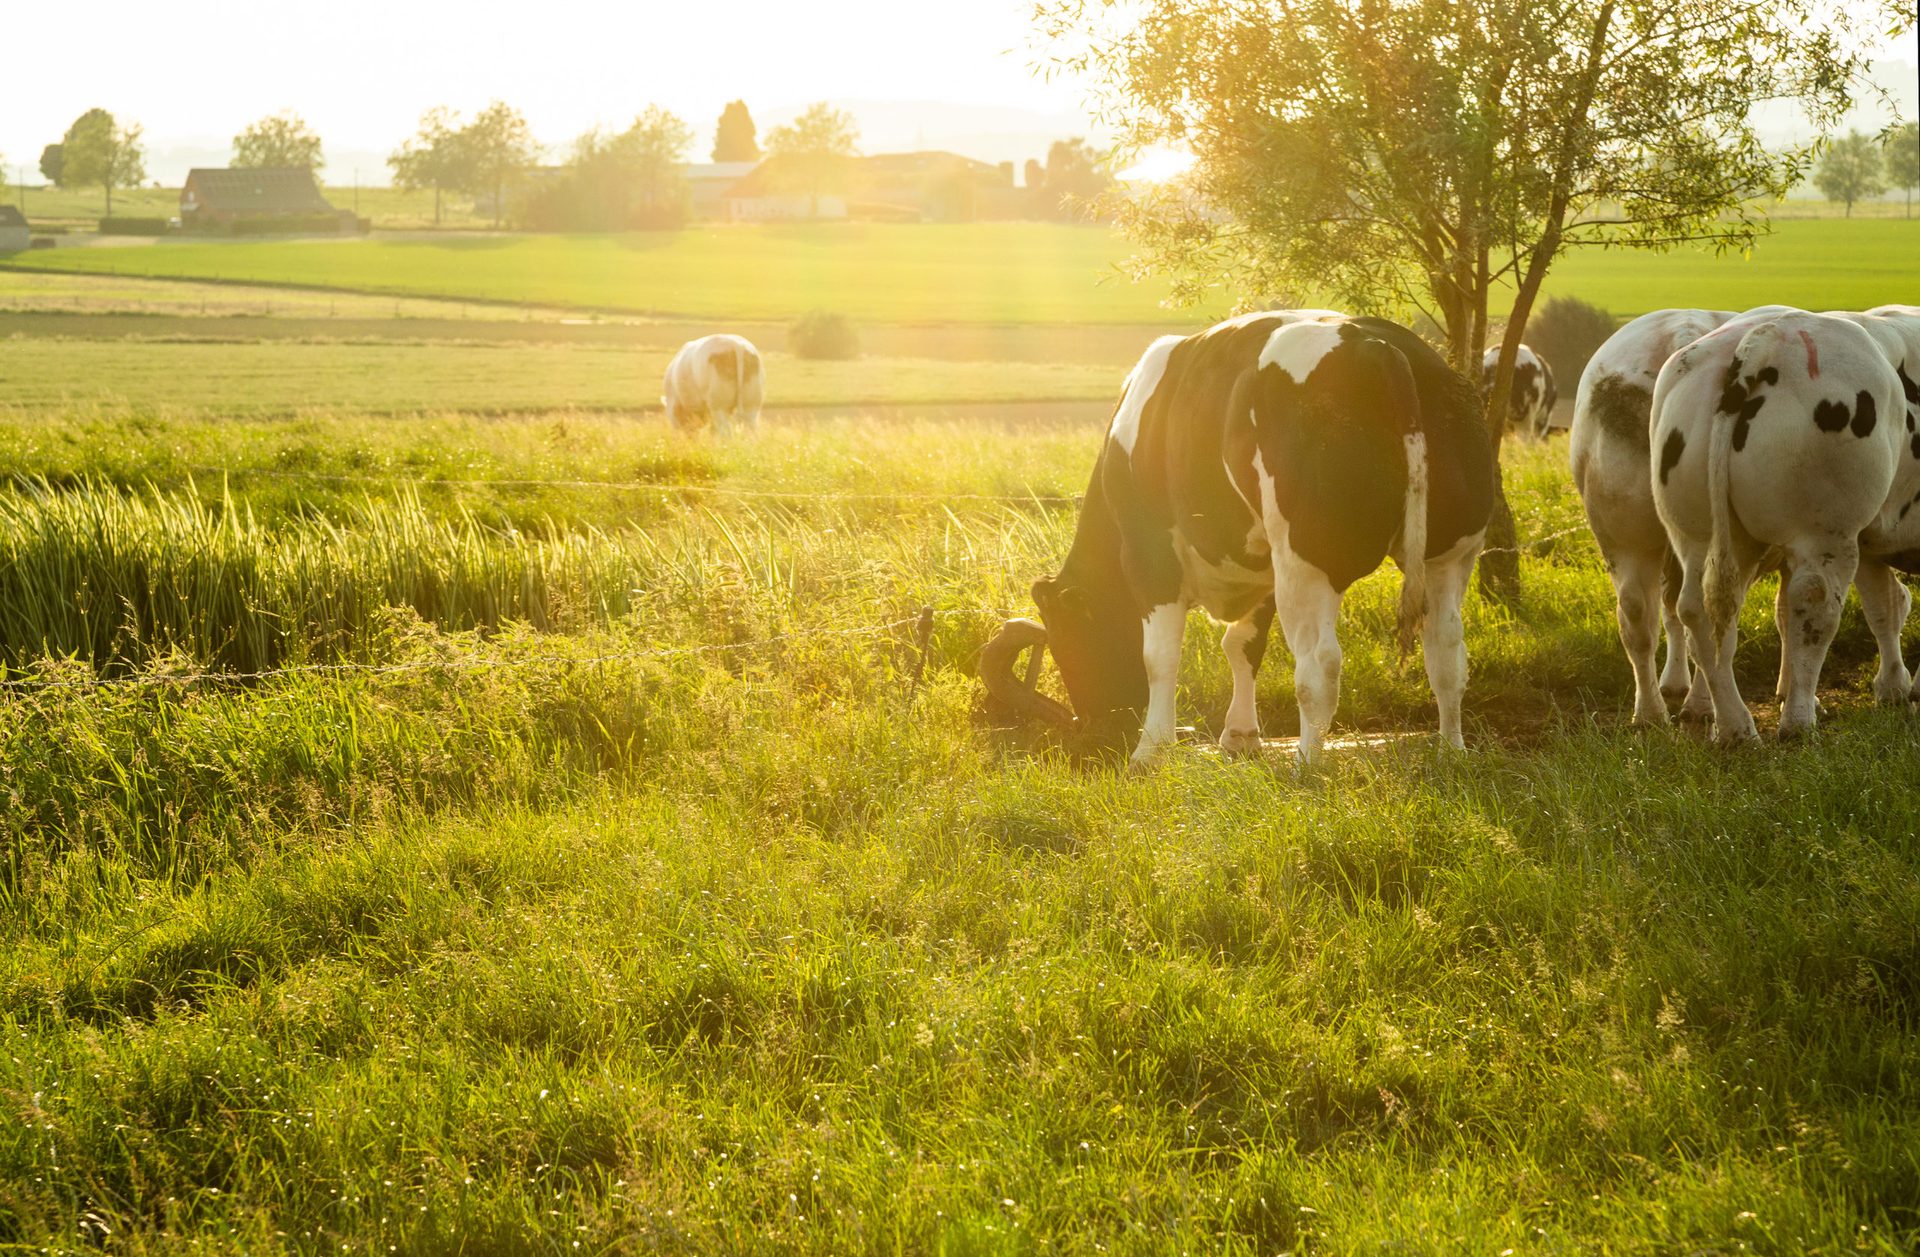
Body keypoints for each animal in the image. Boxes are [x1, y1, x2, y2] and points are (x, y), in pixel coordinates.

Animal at [981, 311, 1496, 766]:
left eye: (1070, 641)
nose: (1098, 731)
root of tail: (1377, 345)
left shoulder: (1151, 557)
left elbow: (1160, 657)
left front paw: (1150, 750)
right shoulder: (1261, 565)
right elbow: (1243, 646)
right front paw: (1241, 736)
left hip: (1305, 562)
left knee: (1320, 665)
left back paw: (1307, 765)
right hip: (1451, 555)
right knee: (1447, 652)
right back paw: (1451, 751)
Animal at [1652, 309, 1915, 742]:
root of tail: (1771, 333)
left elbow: (1885, 605)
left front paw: (1894, 688)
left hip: (1699, 535)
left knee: (1701, 611)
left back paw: (1736, 728)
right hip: (1826, 531)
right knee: (1814, 606)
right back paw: (1797, 721)